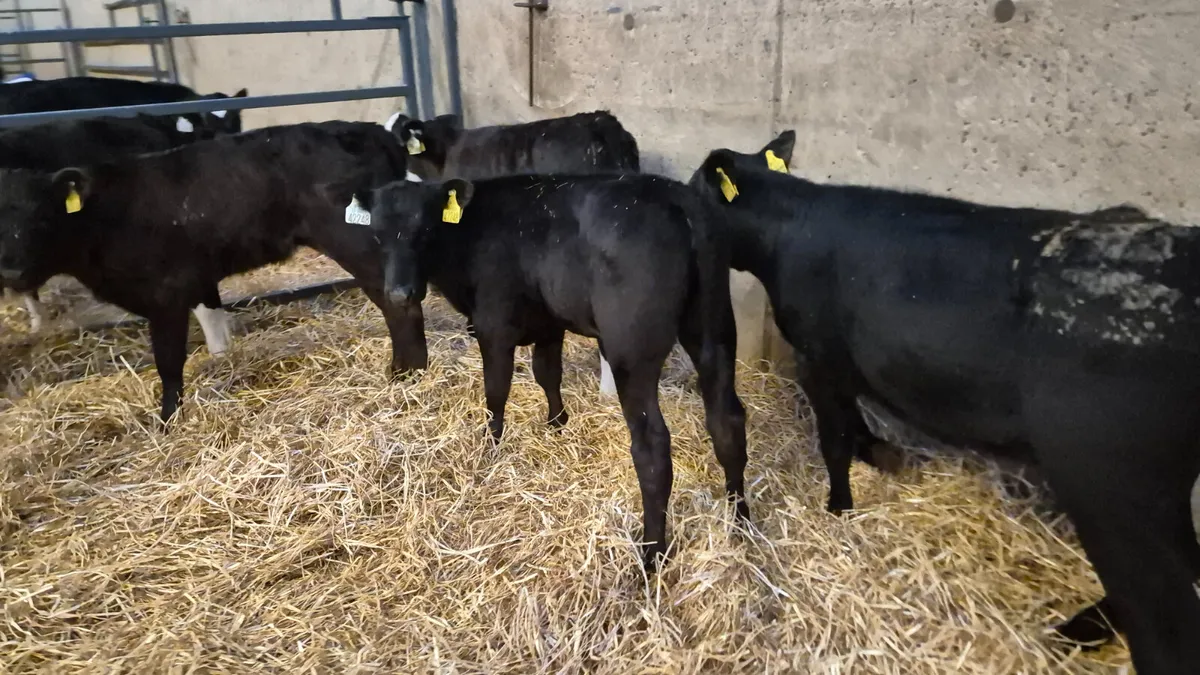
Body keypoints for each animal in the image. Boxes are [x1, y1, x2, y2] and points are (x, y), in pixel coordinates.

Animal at [360, 173, 748, 570]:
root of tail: (676, 196)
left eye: (425, 229)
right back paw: (740, 523)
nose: (400, 294)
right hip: (715, 329)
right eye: (376, 234)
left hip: (632, 351)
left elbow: (496, 390)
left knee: (652, 447)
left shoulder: (493, 324)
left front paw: (491, 447)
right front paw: (556, 423)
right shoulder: (549, 322)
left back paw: (651, 554)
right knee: (727, 422)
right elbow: (547, 373)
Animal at [689, 143, 1200, 675]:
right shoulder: (842, 360)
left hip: (1115, 488)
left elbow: (834, 438)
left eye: (693, 195)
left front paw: (839, 508)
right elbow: (853, 419)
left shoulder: (817, 354)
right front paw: (881, 455)